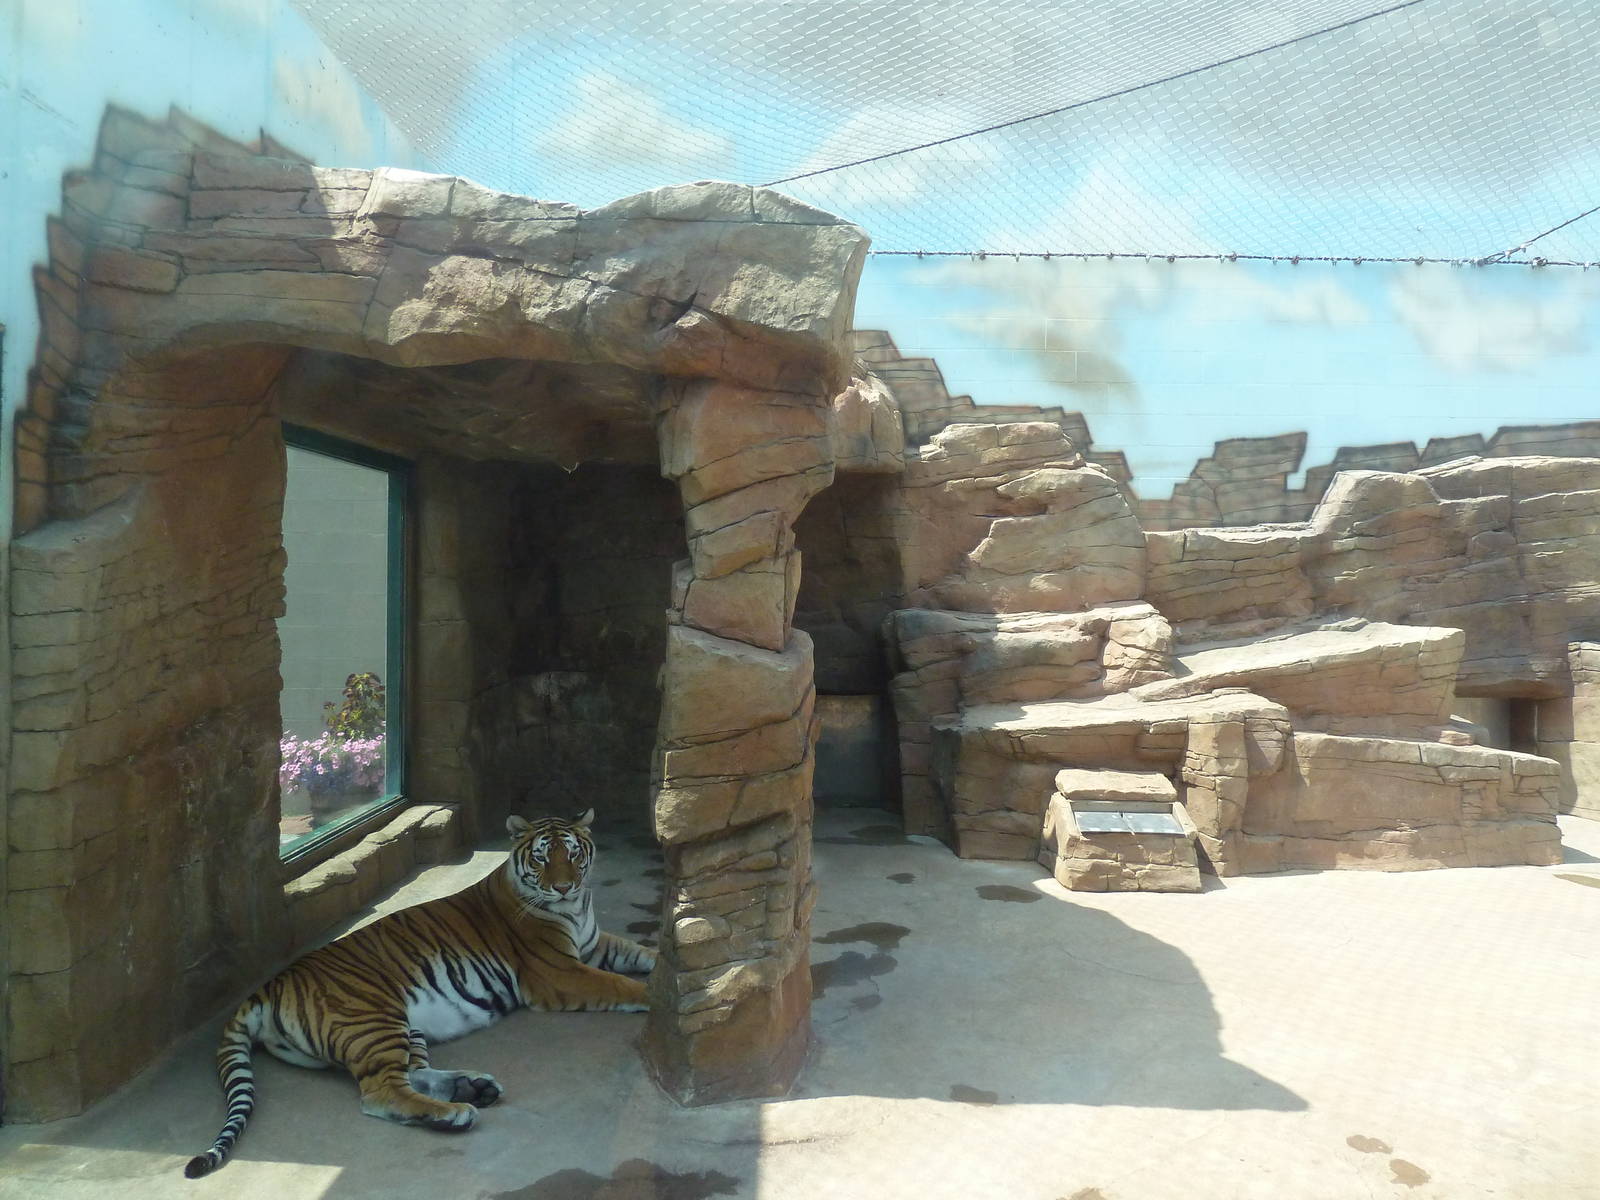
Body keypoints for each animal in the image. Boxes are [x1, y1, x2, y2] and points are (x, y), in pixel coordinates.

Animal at [184, 809, 655, 1179]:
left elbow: (641, 953)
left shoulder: (594, 946)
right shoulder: (558, 972)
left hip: (403, 1028)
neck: (575, 909)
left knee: (411, 1074)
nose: (562, 887)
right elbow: (621, 984)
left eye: (573, 854)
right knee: (381, 1093)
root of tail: (267, 986)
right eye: (542, 857)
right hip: (373, 1018)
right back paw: (456, 1113)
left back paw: (473, 1087)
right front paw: (656, 996)